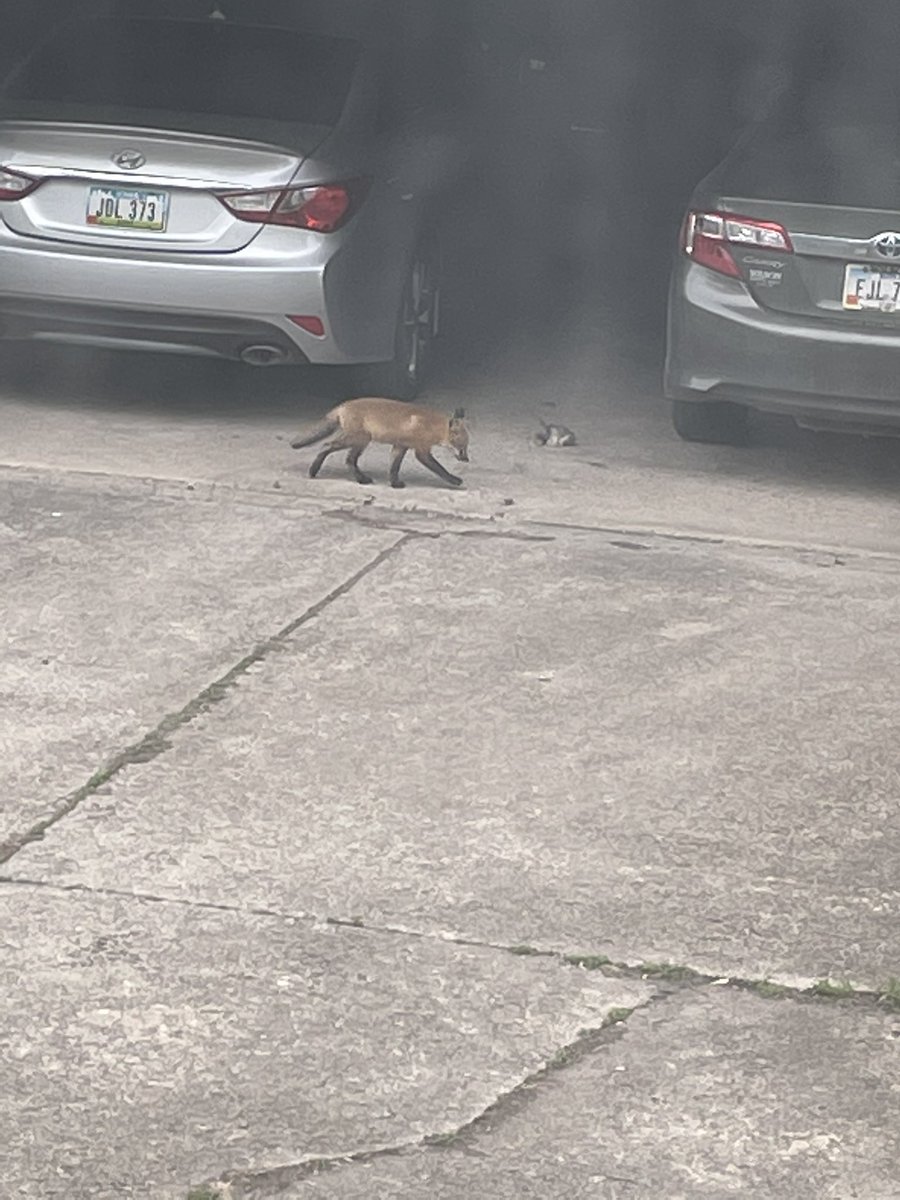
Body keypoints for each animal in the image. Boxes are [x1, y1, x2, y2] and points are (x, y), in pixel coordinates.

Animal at [292, 396, 472, 484]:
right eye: (462, 447)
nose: (467, 460)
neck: (432, 426)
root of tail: (343, 405)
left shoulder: (400, 446)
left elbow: (394, 467)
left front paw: (394, 483)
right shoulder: (421, 451)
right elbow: (440, 469)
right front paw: (454, 480)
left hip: (361, 442)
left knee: (349, 460)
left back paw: (361, 479)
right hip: (359, 438)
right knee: (326, 445)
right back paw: (313, 470)